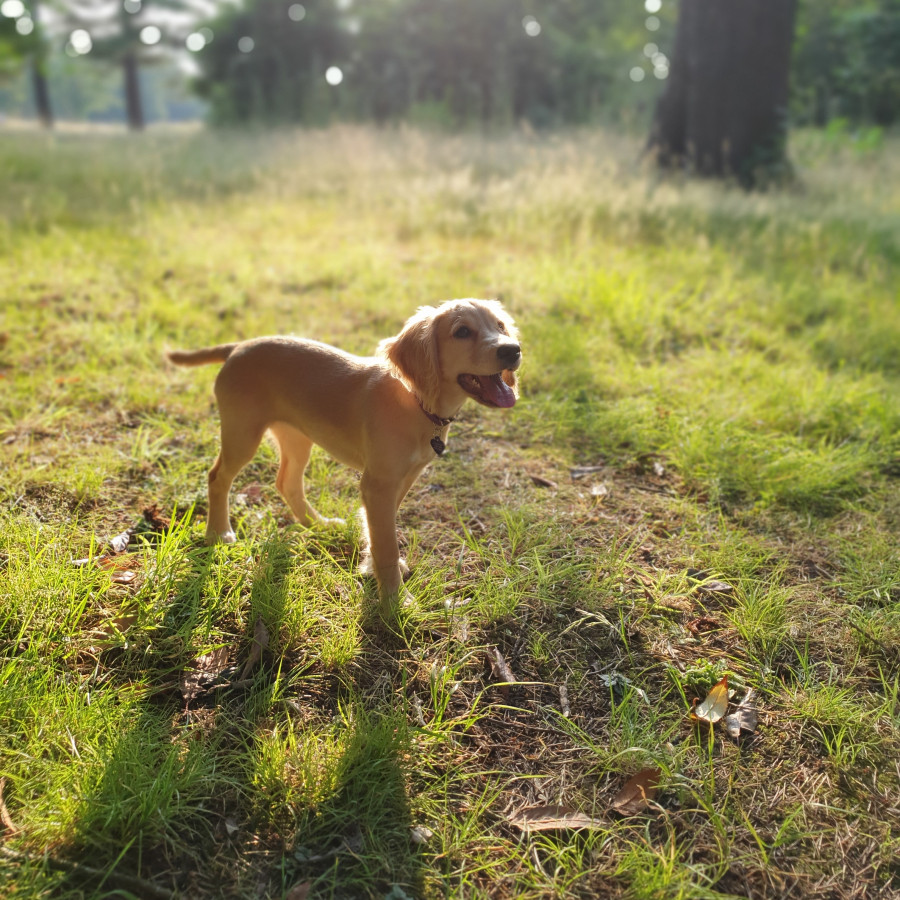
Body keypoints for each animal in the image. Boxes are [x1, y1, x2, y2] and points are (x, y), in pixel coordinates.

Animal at [167, 298, 520, 616]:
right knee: (218, 477)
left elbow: (377, 532)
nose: (512, 350)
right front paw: (396, 602)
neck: (416, 400)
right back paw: (218, 533)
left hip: (297, 437)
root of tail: (240, 346)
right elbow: (386, 543)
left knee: (287, 483)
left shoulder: (401, 480)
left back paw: (317, 524)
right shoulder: (377, 484)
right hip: (242, 433)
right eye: (462, 332)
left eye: (500, 326)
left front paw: (372, 569)